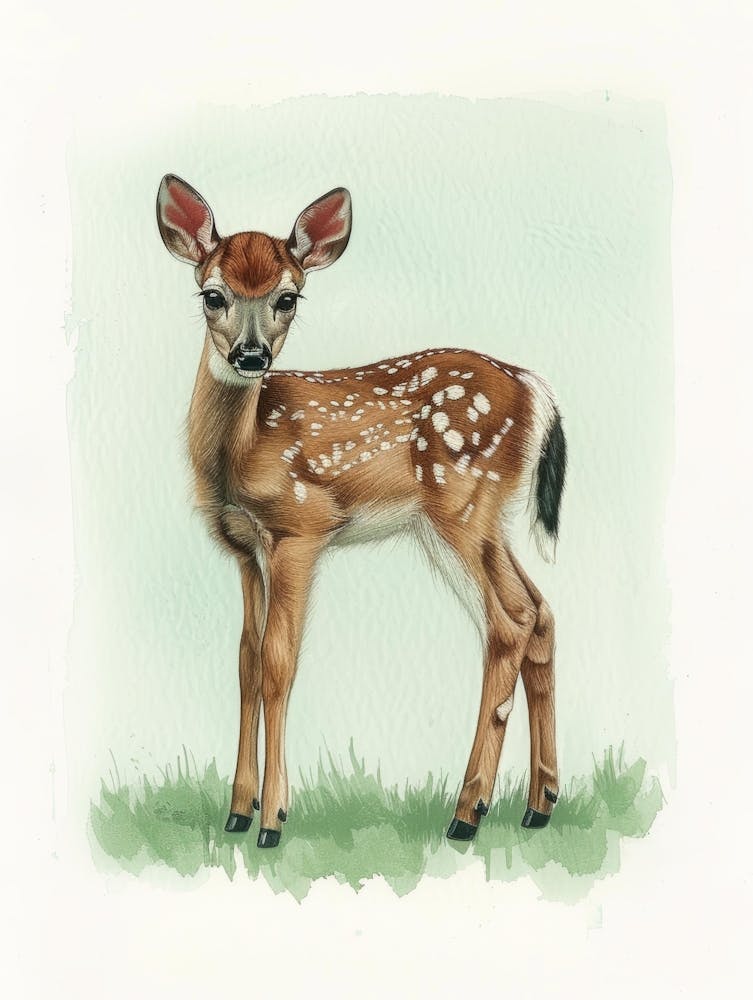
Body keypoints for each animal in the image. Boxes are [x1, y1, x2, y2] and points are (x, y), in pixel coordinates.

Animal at [156, 175, 567, 848]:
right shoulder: (245, 547)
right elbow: (245, 660)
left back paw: (467, 811)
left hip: (459, 506)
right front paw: (237, 810)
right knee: (540, 612)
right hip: (486, 519)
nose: (251, 356)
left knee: (508, 624)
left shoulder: (301, 528)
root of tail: (536, 390)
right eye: (213, 295)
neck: (242, 450)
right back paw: (539, 804)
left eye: (288, 298)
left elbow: (279, 663)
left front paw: (273, 819)